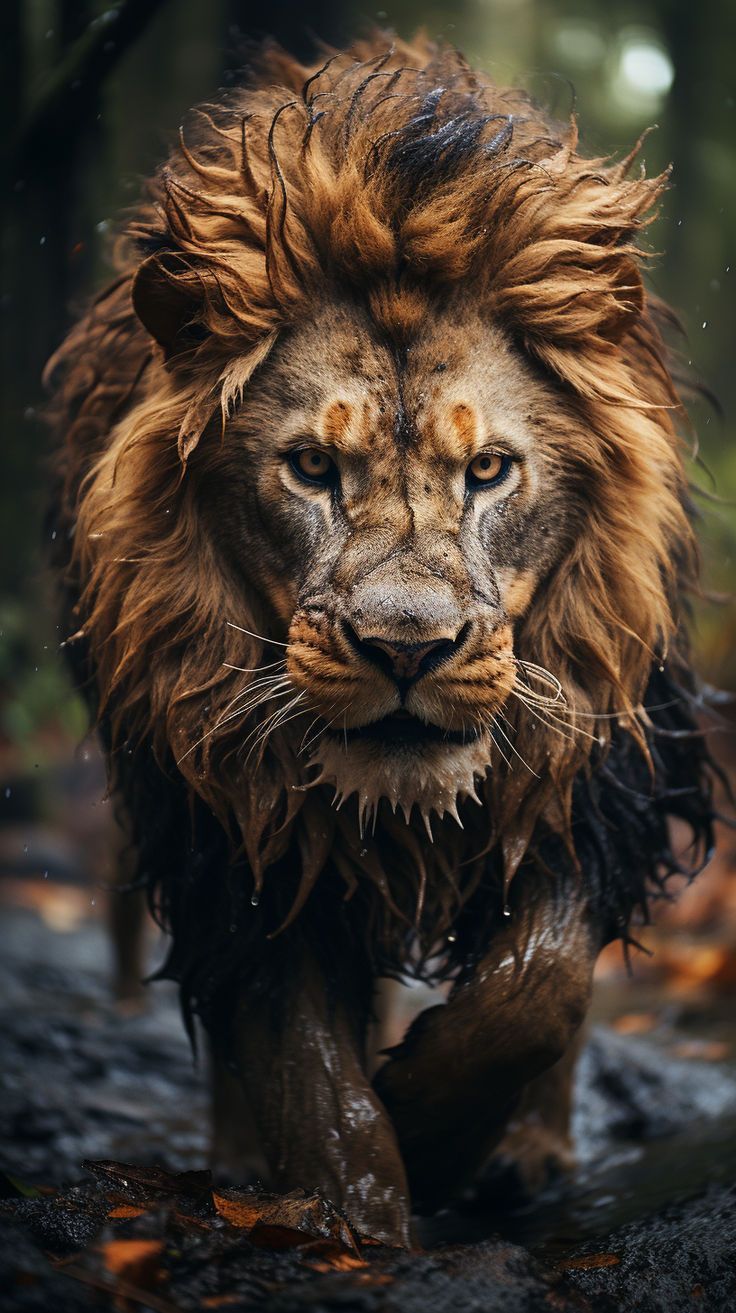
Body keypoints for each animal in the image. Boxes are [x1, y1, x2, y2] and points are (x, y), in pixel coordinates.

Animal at [46, 35, 716, 1246]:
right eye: (312, 467)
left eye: (489, 468)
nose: (406, 650)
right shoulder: (228, 816)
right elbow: (300, 1052)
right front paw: (348, 1212)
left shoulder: (596, 763)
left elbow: (539, 984)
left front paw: (437, 1126)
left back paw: (531, 1153)